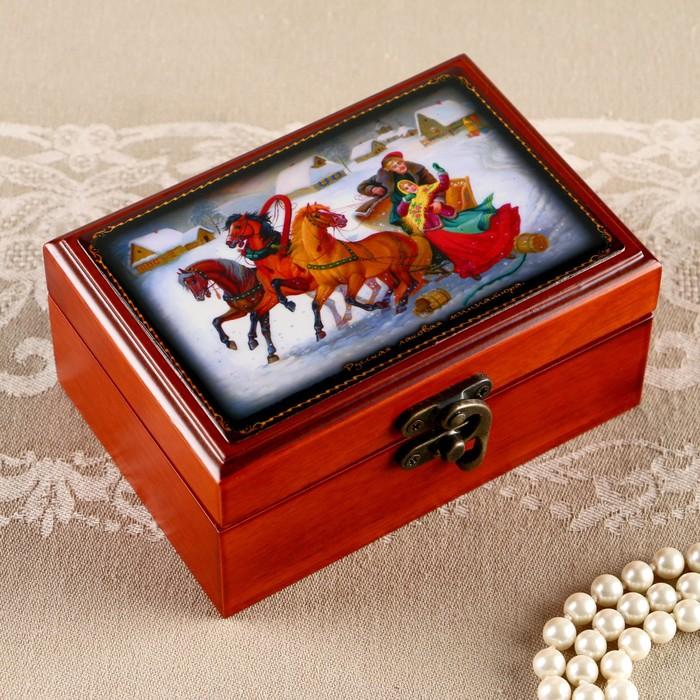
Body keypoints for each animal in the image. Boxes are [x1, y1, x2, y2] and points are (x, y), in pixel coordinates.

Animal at [291, 203, 422, 341]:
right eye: (316, 215)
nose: (342, 218)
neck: (327, 256)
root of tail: (405, 238)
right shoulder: (327, 285)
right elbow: (316, 305)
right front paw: (319, 331)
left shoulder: (356, 277)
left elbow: (349, 299)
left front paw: (375, 306)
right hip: (384, 272)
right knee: (396, 284)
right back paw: (388, 303)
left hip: (398, 268)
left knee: (411, 283)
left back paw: (400, 304)